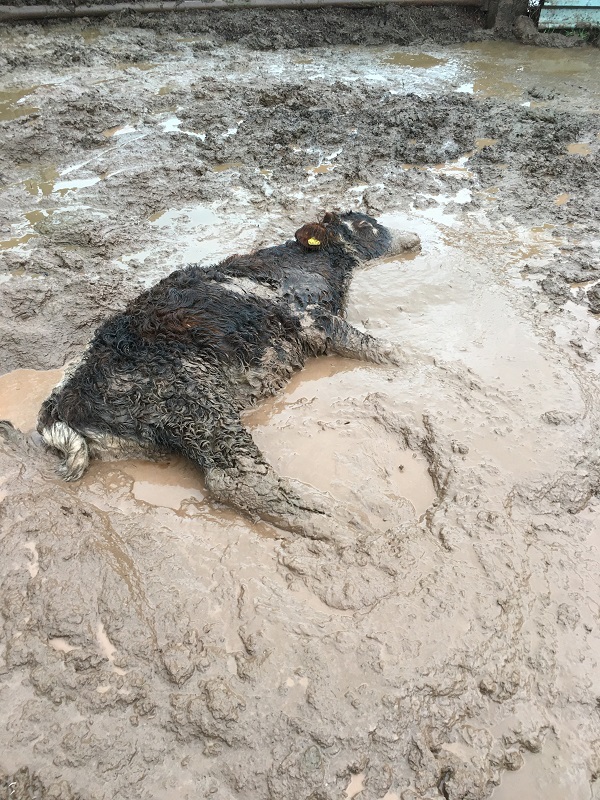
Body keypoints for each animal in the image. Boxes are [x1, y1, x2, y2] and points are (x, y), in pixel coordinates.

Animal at [37, 209, 420, 540]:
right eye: (367, 226)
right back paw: (337, 520)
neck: (314, 262)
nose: (415, 237)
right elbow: (379, 347)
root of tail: (61, 404)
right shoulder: (313, 319)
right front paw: (422, 364)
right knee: (239, 481)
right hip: (194, 399)